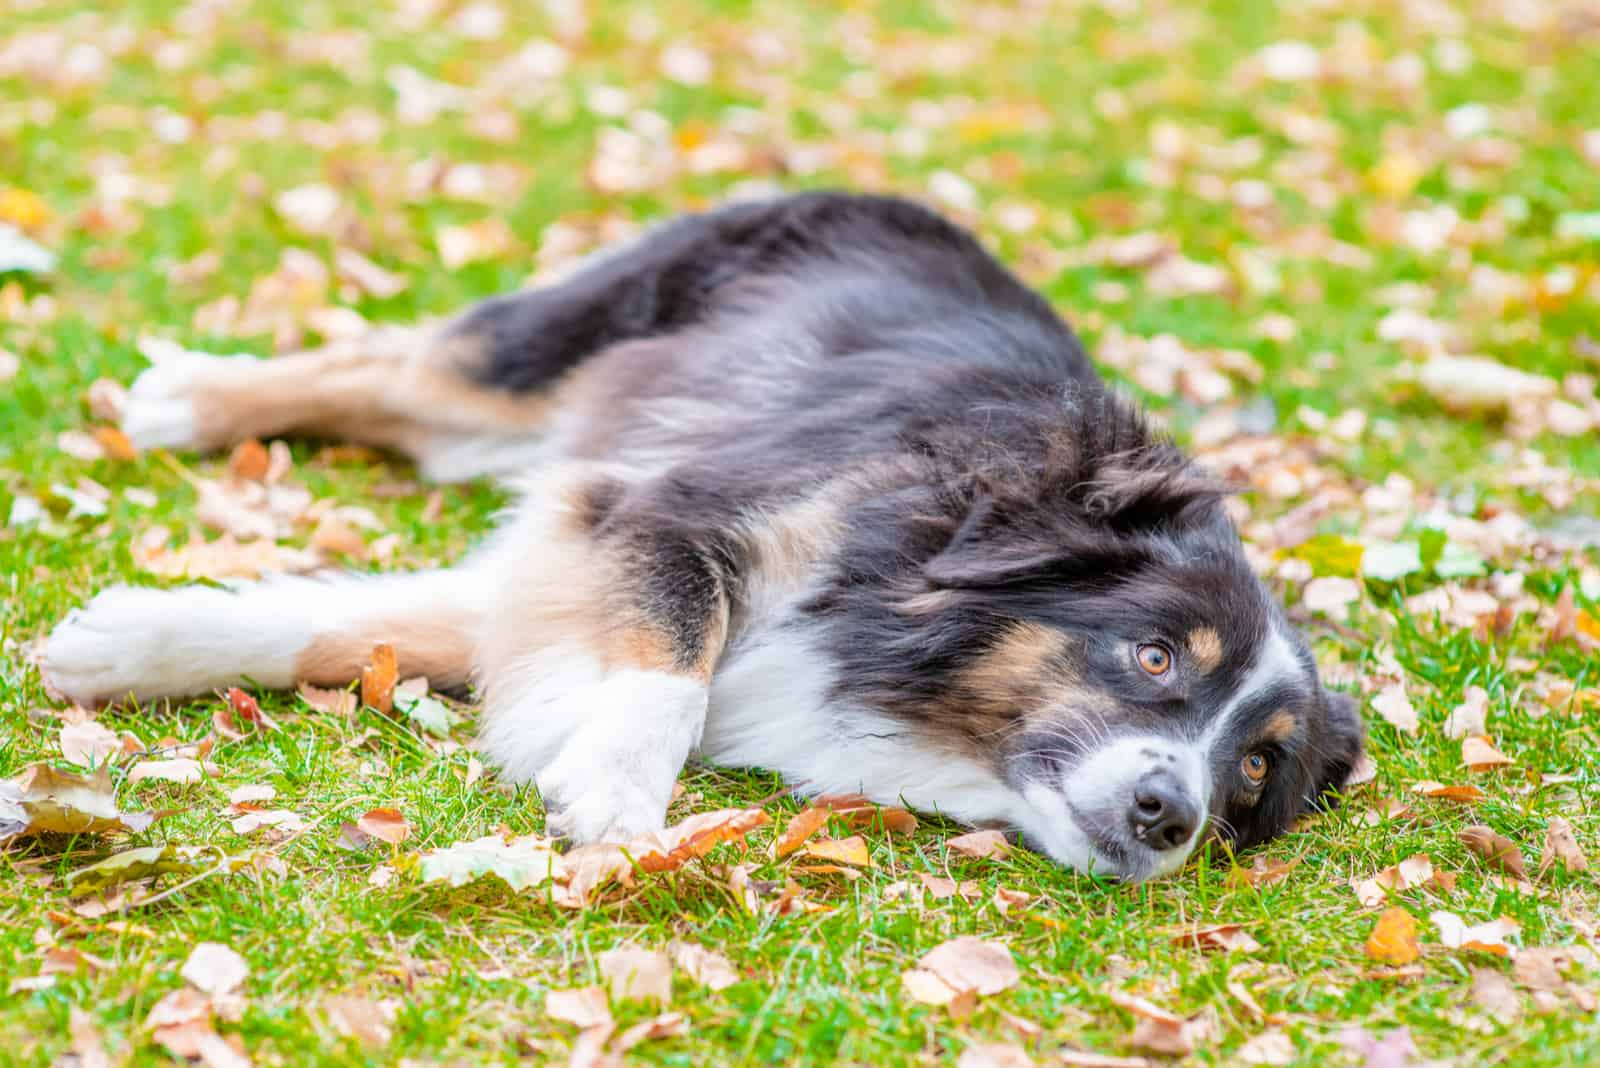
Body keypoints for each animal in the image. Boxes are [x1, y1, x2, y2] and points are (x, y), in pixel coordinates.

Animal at [40, 187, 1363, 882]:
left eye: (1256, 771)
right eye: (1153, 656)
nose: (1169, 814)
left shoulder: (562, 568)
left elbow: (337, 622)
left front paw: (124, 646)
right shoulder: (670, 506)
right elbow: (675, 658)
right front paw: (620, 798)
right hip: (557, 351)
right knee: (388, 371)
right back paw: (187, 400)